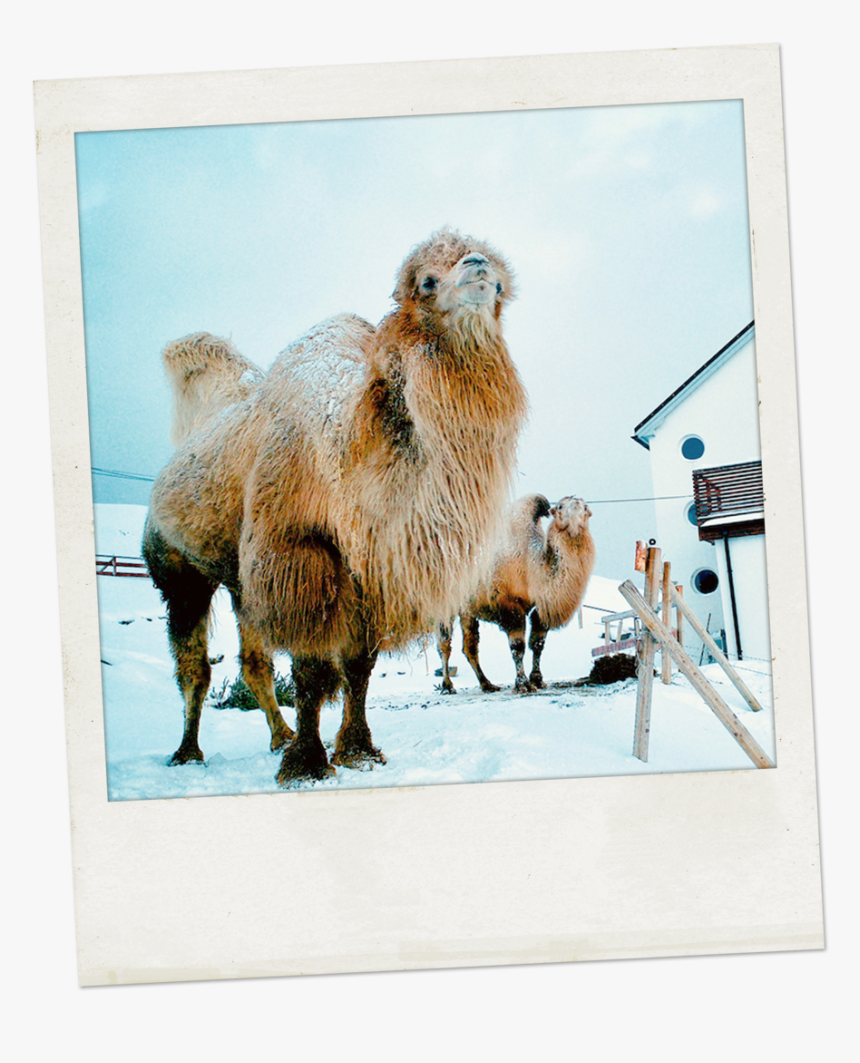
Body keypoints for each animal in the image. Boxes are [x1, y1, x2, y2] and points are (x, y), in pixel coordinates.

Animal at [143, 229, 528, 784]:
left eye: (497, 283)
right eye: (426, 282)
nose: (476, 266)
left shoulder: (369, 571)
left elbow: (358, 666)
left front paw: (357, 750)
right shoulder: (298, 550)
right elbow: (311, 666)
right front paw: (307, 764)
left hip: (241, 582)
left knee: (252, 659)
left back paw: (277, 738)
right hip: (177, 568)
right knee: (193, 662)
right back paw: (189, 753)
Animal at [437, 494, 595, 694]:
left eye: (585, 507)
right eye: (559, 507)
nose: (575, 510)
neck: (532, 565)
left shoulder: (540, 607)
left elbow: (538, 644)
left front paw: (538, 680)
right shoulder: (510, 606)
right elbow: (517, 647)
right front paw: (523, 684)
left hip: (467, 610)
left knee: (470, 647)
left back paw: (487, 684)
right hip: (445, 606)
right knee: (444, 644)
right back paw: (447, 686)